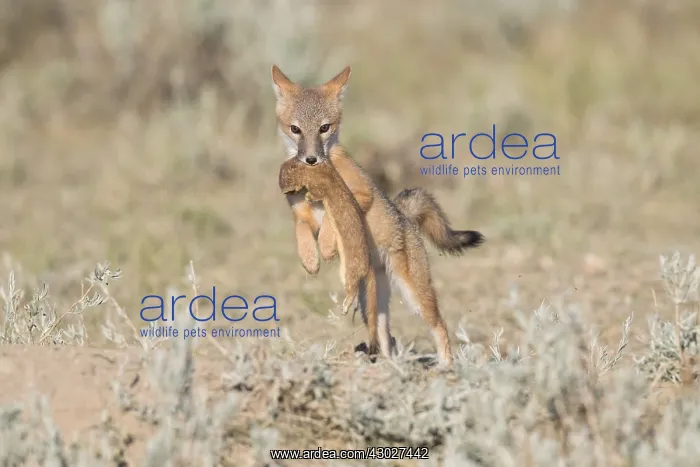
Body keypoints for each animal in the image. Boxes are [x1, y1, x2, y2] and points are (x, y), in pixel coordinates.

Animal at [278, 155, 380, 356]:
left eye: (287, 183)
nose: (286, 193)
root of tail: (368, 264)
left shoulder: (321, 185)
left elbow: (319, 193)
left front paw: (309, 196)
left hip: (349, 269)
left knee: (352, 286)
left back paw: (345, 306)